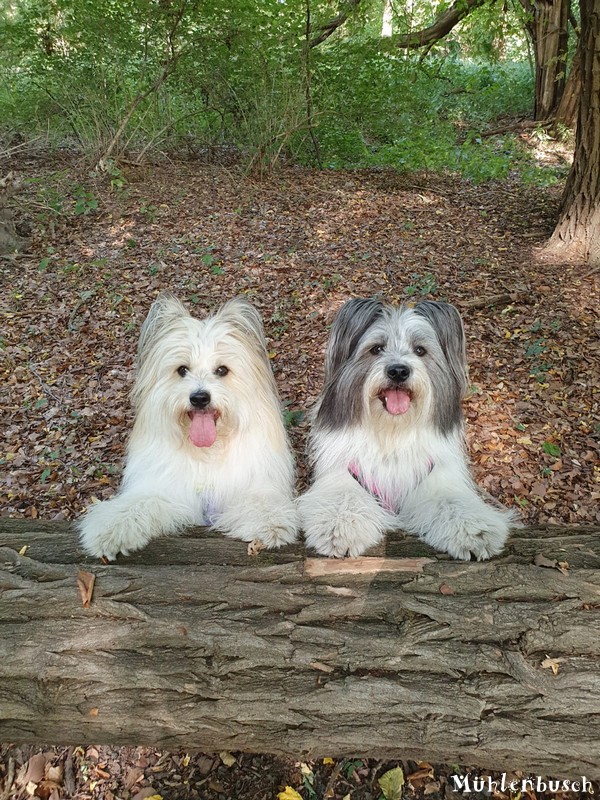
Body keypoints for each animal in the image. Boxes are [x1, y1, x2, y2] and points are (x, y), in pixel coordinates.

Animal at [78, 290, 298, 560]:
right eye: (182, 370)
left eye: (222, 370)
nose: (200, 397)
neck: (207, 454)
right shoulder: (166, 489)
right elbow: (139, 503)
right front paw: (111, 528)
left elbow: (259, 501)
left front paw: (270, 523)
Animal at [298, 296, 516, 560]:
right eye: (376, 349)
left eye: (420, 350)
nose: (398, 371)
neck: (392, 431)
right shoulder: (346, 471)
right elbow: (344, 496)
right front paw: (340, 528)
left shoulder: (434, 476)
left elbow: (450, 500)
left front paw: (474, 531)